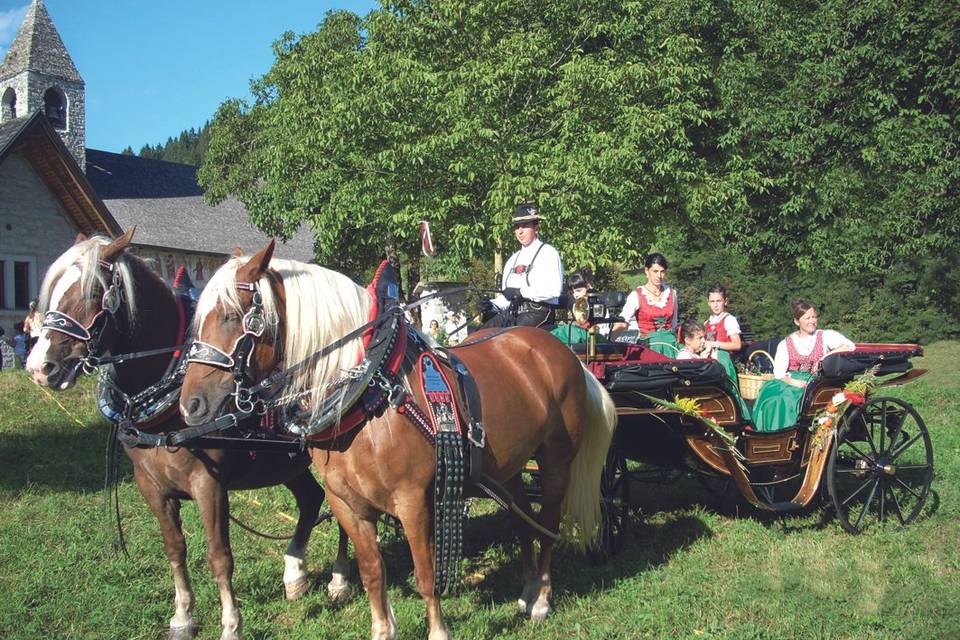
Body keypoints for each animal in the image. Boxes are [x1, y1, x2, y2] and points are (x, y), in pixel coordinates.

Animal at [178, 241, 616, 640]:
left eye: (233, 316)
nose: (191, 404)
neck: (369, 390)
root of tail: (564, 354)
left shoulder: (413, 501)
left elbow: (425, 574)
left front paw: (438, 631)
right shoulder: (347, 504)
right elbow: (373, 572)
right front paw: (381, 628)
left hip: (556, 461)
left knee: (547, 523)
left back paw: (541, 599)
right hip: (508, 467)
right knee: (523, 519)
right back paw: (526, 592)